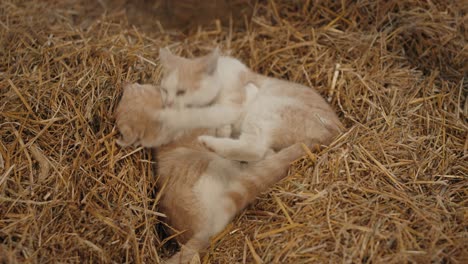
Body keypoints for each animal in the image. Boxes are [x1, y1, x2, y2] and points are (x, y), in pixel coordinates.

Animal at [113, 82, 314, 262]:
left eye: (137, 89)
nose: (126, 85)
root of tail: (200, 234)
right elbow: (225, 122)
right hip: (219, 166)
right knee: (252, 157)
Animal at [155, 48, 342, 162]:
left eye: (181, 92)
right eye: (164, 90)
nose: (168, 102)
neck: (220, 77)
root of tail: (334, 132)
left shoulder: (231, 105)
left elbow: (206, 114)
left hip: (265, 110)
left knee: (254, 148)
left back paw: (209, 143)